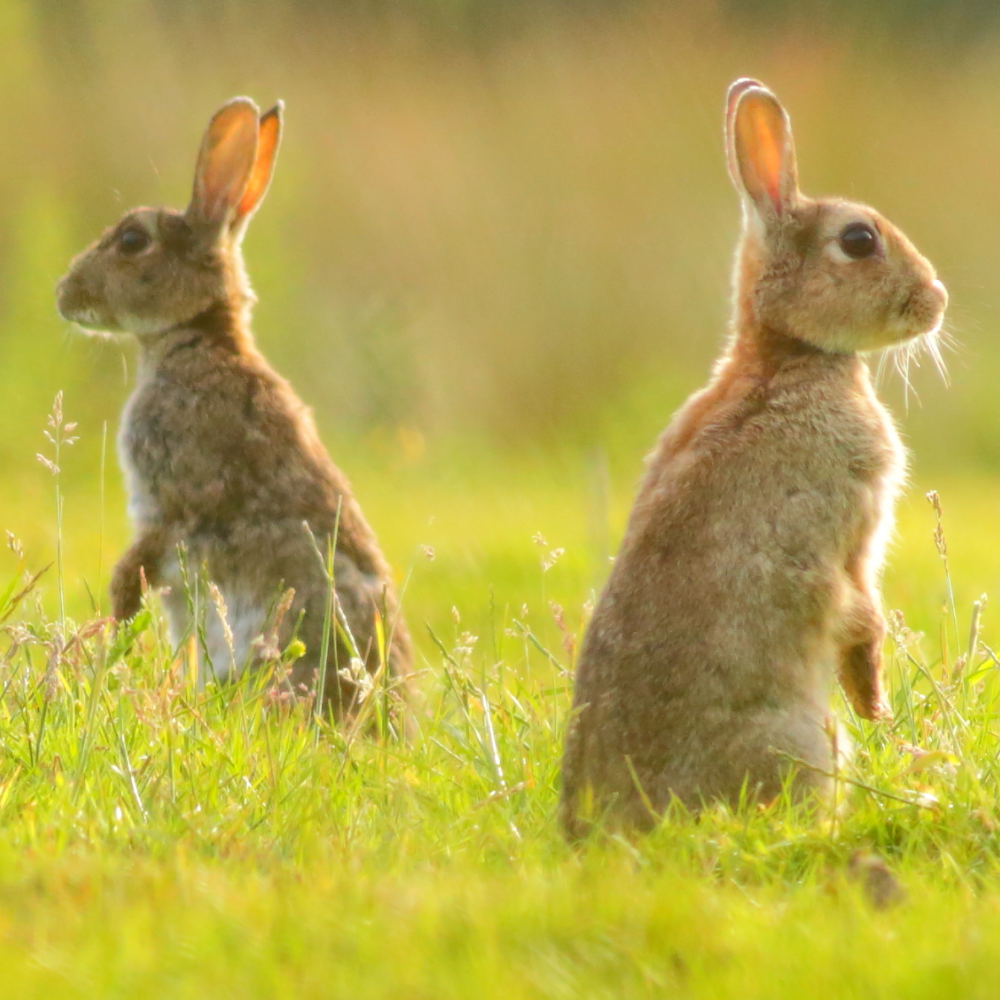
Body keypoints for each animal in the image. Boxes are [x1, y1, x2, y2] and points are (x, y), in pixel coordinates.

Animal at [56, 97, 412, 724]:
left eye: (132, 240)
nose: (64, 293)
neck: (198, 337)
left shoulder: (174, 500)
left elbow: (135, 567)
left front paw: (110, 633)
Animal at [560, 79, 948, 837]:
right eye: (858, 240)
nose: (936, 301)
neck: (788, 356)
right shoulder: (852, 532)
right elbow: (861, 616)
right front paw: (878, 709)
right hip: (802, 741)